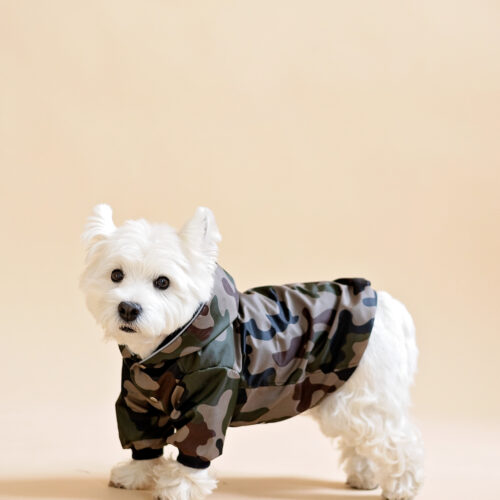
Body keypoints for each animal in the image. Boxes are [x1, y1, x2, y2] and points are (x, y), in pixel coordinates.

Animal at [80, 204, 424, 500]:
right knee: (362, 442)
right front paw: (136, 474)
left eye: (163, 282)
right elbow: (145, 440)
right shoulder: (137, 400)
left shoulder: (212, 395)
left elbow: (194, 446)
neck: (163, 351)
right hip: (342, 395)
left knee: (398, 441)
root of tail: (391, 306)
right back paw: (364, 477)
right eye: (115, 275)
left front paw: (179, 487)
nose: (128, 308)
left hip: (365, 397)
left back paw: (402, 487)